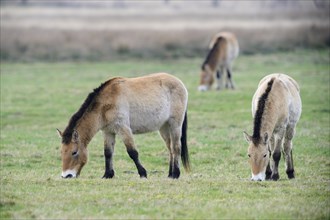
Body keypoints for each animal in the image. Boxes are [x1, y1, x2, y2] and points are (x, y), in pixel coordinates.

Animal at [57, 73, 189, 180]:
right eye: (62, 152)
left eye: (74, 152)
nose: (66, 175)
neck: (105, 103)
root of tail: (179, 83)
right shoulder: (108, 132)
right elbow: (108, 152)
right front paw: (107, 175)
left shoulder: (123, 129)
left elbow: (132, 152)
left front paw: (143, 173)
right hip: (164, 128)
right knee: (170, 149)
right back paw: (170, 174)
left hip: (175, 125)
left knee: (176, 147)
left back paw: (176, 174)